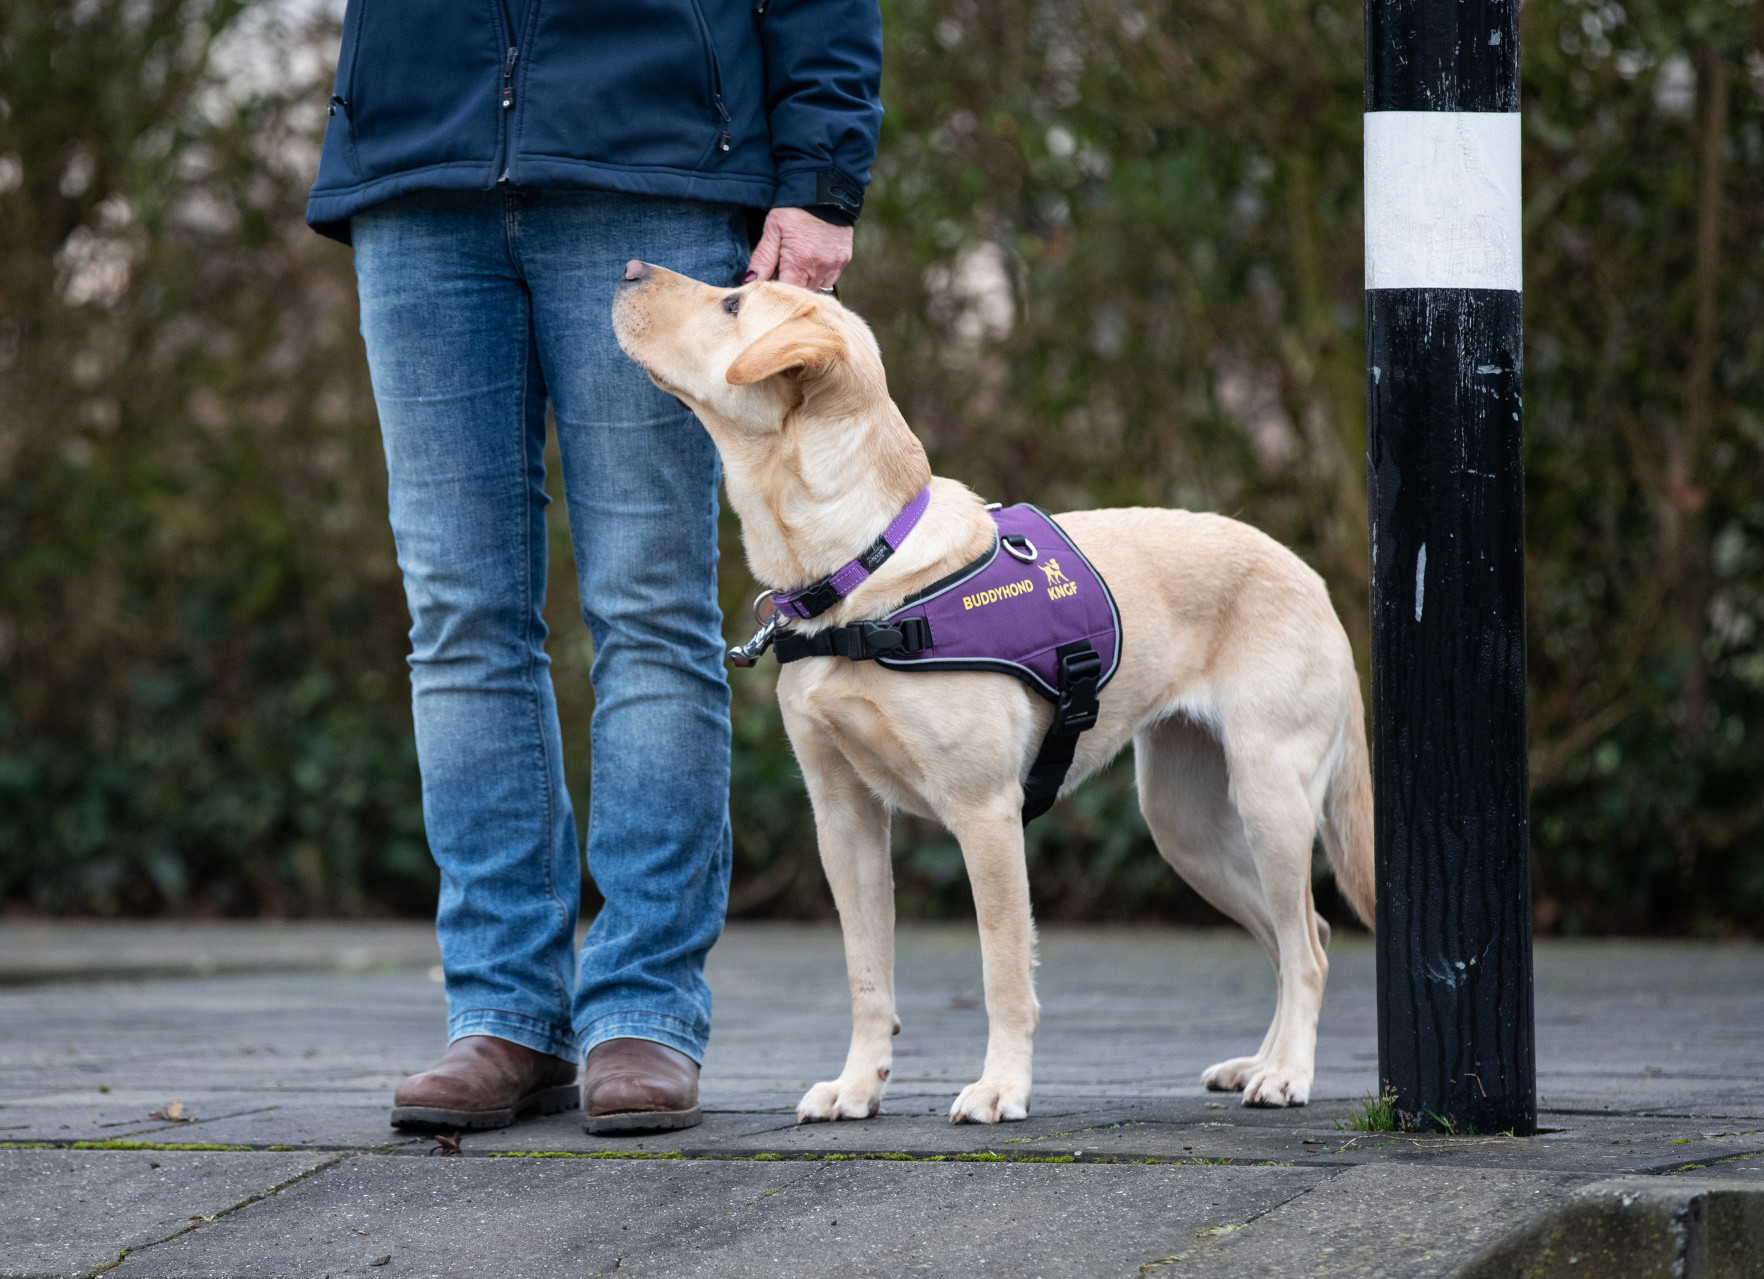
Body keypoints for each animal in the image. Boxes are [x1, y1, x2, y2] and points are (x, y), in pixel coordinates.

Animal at [613, 264, 1368, 1121]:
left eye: (733, 303)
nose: (629, 269)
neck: (861, 572)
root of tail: (1309, 575)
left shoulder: (986, 813)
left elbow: (1003, 970)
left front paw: (1002, 1085)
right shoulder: (842, 816)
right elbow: (866, 974)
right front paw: (857, 1085)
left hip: (1271, 799)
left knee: (1307, 946)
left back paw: (1289, 1073)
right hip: (1187, 825)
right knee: (1297, 933)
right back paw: (1261, 1062)